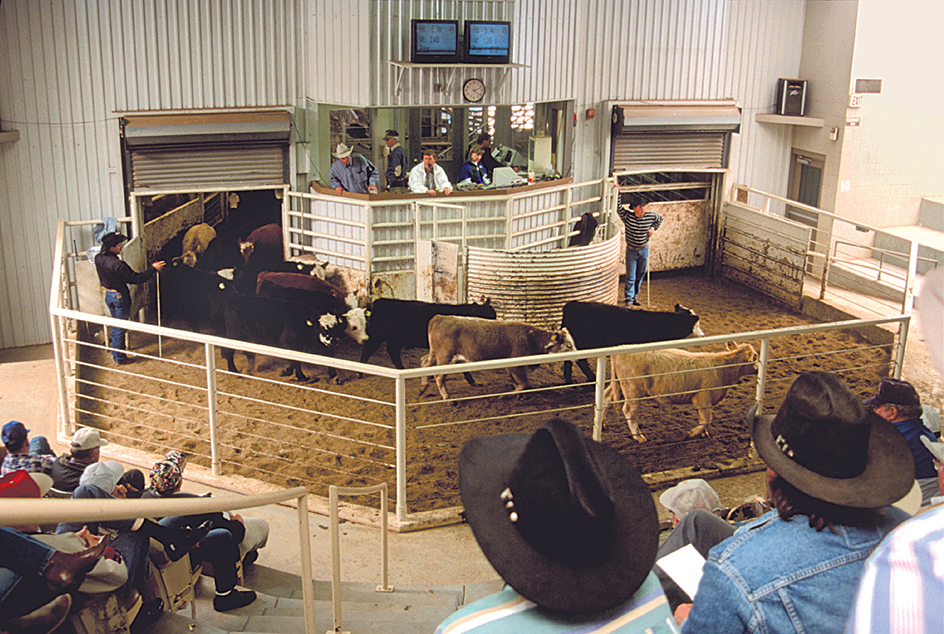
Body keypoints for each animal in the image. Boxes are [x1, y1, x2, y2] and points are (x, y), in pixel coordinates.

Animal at [418, 314, 576, 400]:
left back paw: (423, 388)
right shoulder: (515, 367)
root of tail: (440, 318)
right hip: (445, 357)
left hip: (436, 354)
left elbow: (520, 384)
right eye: (569, 345)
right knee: (439, 377)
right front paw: (504, 395)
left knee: (424, 361)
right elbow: (523, 384)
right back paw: (447, 398)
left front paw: (521, 396)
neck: (532, 338)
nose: (577, 357)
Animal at [556, 300, 704, 382]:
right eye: (696, 324)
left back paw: (569, 380)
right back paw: (591, 378)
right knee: (580, 361)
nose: (703, 335)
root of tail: (571, 305)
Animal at [604, 344, 760, 442]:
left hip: (618, 385)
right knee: (629, 411)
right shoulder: (702, 397)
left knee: (606, 398)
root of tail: (620, 350)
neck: (722, 368)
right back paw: (638, 437)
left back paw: (603, 424)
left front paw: (703, 433)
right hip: (633, 390)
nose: (760, 367)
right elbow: (706, 418)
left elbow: (704, 419)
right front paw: (690, 434)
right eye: (756, 356)